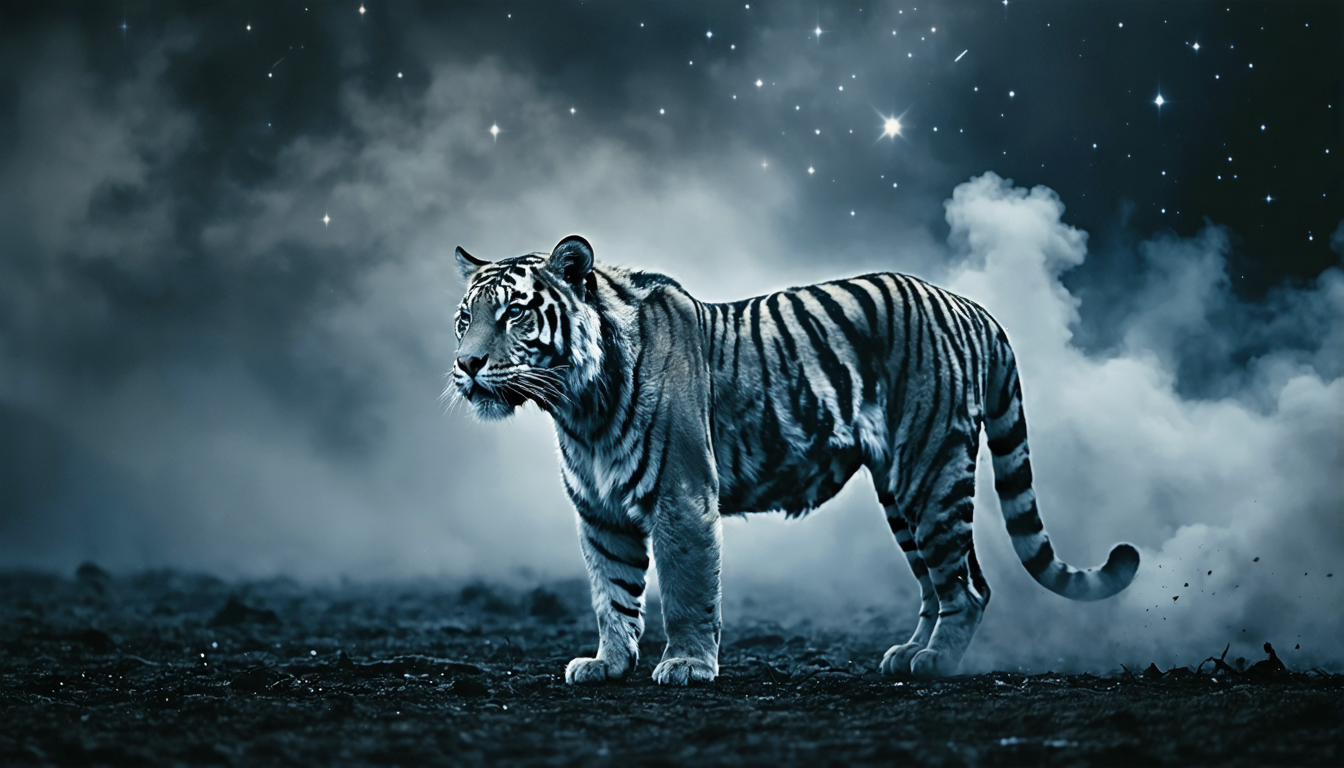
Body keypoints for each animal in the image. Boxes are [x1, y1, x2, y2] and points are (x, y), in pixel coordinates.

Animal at [448, 234, 1139, 685]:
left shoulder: (681, 498)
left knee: (966, 586)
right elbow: (611, 594)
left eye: (513, 314)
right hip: (901, 492)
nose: (466, 364)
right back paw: (906, 655)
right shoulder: (600, 514)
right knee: (940, 583)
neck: (579, 405)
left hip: (931, 472)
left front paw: (687, 666)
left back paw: (936, 664)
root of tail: (972, 307)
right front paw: (609, 664)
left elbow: (685, 590)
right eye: (464, 319)